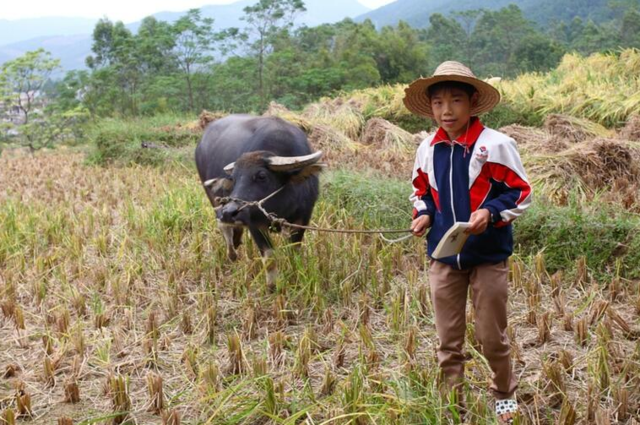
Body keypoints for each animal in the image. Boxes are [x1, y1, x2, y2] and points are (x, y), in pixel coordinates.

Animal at [194, 113, 324, 288]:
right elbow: (269, 258)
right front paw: (272, 287)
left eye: (262, 176)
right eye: (233, 178)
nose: (229, 212)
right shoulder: (254, 224)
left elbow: (294, 252)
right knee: (223, 226)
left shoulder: (302, 218)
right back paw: (232, 254)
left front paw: (295, 277)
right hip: (213, 198)